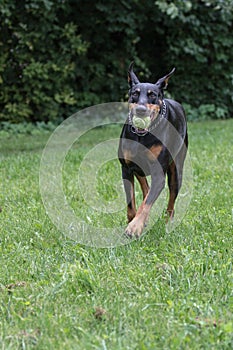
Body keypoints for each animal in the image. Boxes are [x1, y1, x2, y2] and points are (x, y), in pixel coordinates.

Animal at [118, 63, 187, 238]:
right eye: (135, 94)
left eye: (152, 95)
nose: (141, 109)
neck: (142, 136)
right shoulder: (126, 168)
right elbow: (131, 203)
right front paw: (133, 222)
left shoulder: (159, 173)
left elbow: (147, 203)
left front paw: (134, 227)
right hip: (139, 167)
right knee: (146, 188)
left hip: (176, 170)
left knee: (171, 200)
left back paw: (168, 223)